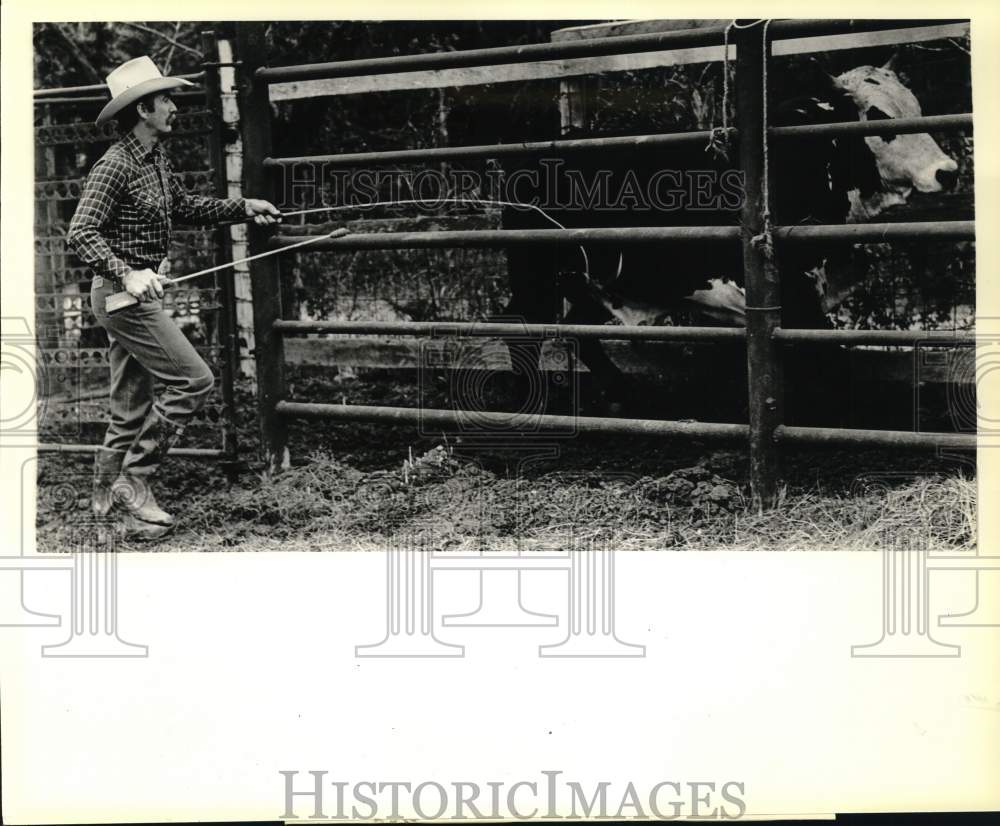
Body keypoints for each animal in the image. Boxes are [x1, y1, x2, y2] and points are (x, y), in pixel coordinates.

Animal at [494, 61, 960, 412]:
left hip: (601, 281)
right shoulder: (795, 296)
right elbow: (826, 362)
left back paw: (623, 396)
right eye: (880, 116)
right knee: (520, 323)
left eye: (918, 106)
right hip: (537, 274)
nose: (948, 172)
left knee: (580, 332)